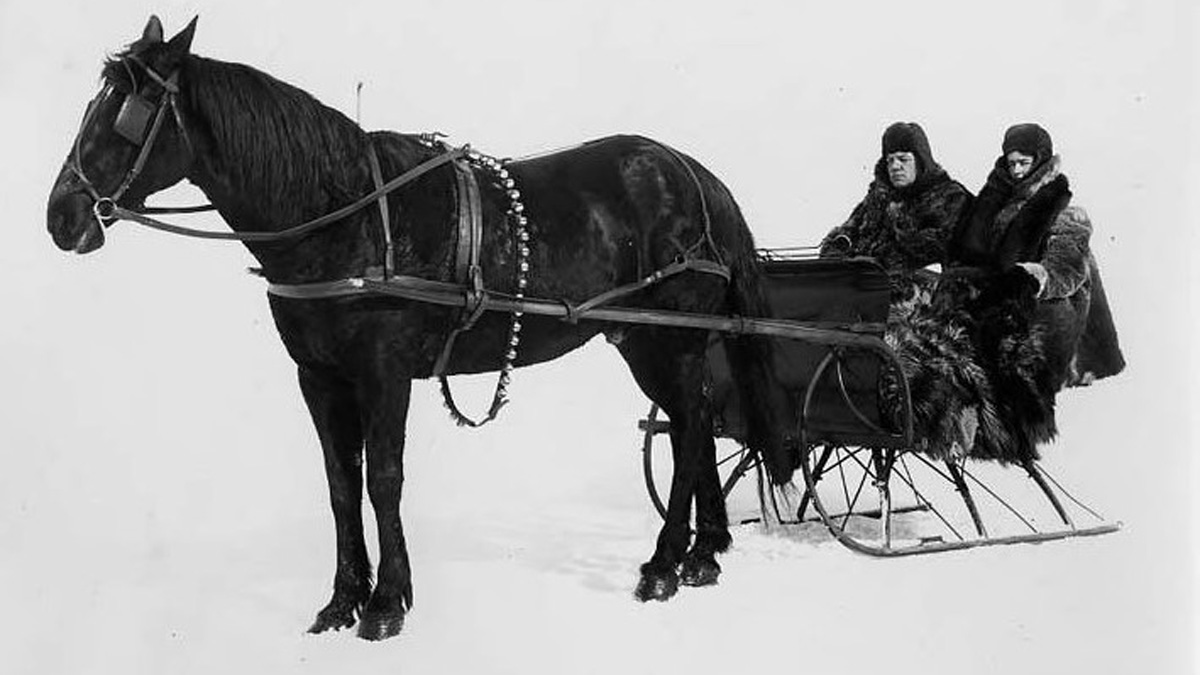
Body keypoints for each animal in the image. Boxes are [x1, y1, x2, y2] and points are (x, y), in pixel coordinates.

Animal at [45, 16, 790, 640]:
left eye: (128, 114)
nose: (61, 215)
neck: (344, 214)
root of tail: (694, 174)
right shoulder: (319, 377)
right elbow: (340, 483)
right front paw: (341, 599)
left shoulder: (384, 371)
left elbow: (383, 477)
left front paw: (385, 603)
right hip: (643, 339)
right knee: (694, 423)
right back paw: (704, 552)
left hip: (675, 336)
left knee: (690, 428)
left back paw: (664, 564)